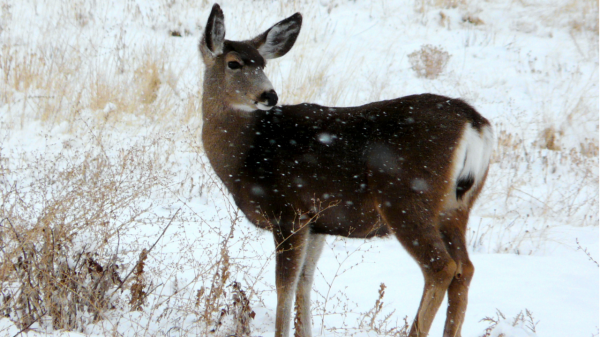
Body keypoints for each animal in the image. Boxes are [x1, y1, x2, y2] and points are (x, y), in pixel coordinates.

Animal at [199, 3, 494, 336]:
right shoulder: (316, 222)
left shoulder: (288, 212)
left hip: (406, 199)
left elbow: (284, 287)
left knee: (441, 267)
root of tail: (475, 123)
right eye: (234, 63)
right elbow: (304, 282)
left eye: (262, 64)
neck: (247, 153)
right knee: (465, 269)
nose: (269, 96)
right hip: (456, 207)